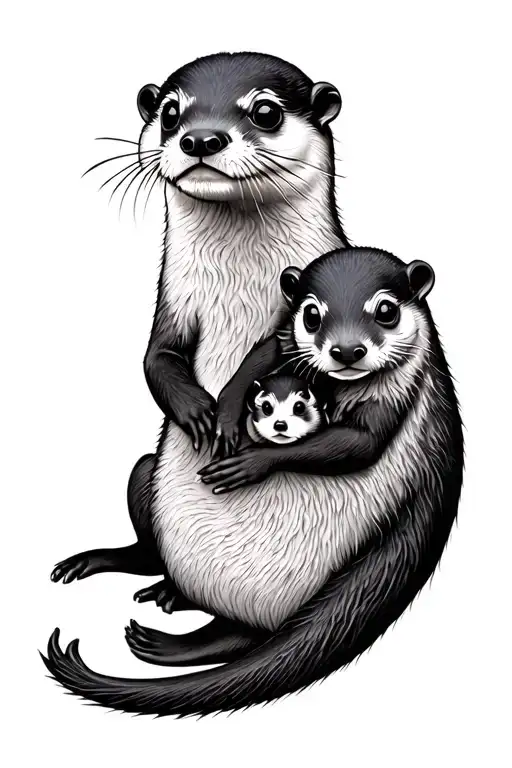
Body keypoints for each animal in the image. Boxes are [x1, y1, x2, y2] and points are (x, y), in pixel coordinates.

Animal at [43, 55, 463, 718]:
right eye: (170, 111)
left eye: (264, 110)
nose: (200, 139)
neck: (239, 291)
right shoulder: (173, 309)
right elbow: (155, 361)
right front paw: (200, 413)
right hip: (148, 475)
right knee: (151, 535)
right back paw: (137, 576)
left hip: (290, 581)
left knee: (247, 631)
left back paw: (173, 637)